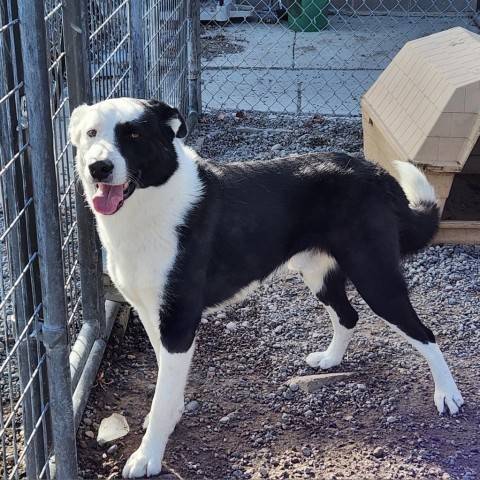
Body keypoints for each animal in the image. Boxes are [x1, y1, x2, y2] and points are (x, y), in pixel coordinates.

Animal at [69, 97, 464, 476]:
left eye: (134, 135)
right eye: (91, 133)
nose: (99, 167)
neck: (152, 203)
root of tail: (376, 173)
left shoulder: (179, 323)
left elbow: (163, 393)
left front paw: (148, 455)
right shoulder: (153, 315)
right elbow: (166, 385)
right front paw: (166, 421)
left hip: (375, 277)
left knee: (424, 333)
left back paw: (447, 394)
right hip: (318, 273)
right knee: (347, 315)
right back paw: (331, 359)